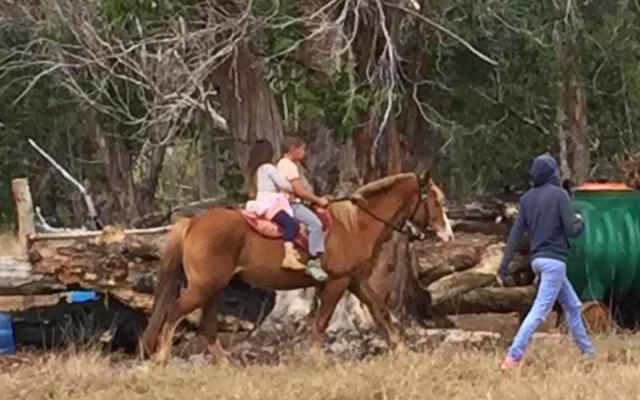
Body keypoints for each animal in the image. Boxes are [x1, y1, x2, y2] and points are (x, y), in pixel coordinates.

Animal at [141, 170, 450, 364]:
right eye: (436, 200)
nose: (447, 233)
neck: (357, 224)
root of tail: (193, 222)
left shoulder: (356, 280)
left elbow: (380, 310)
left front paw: (401, 349)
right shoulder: (337, 281)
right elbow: (323, 319)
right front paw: (312, 355)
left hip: (213, 289)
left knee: (206, 326)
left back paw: (224, 364)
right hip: (203, 287)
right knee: (174, 313)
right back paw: (160, 358)